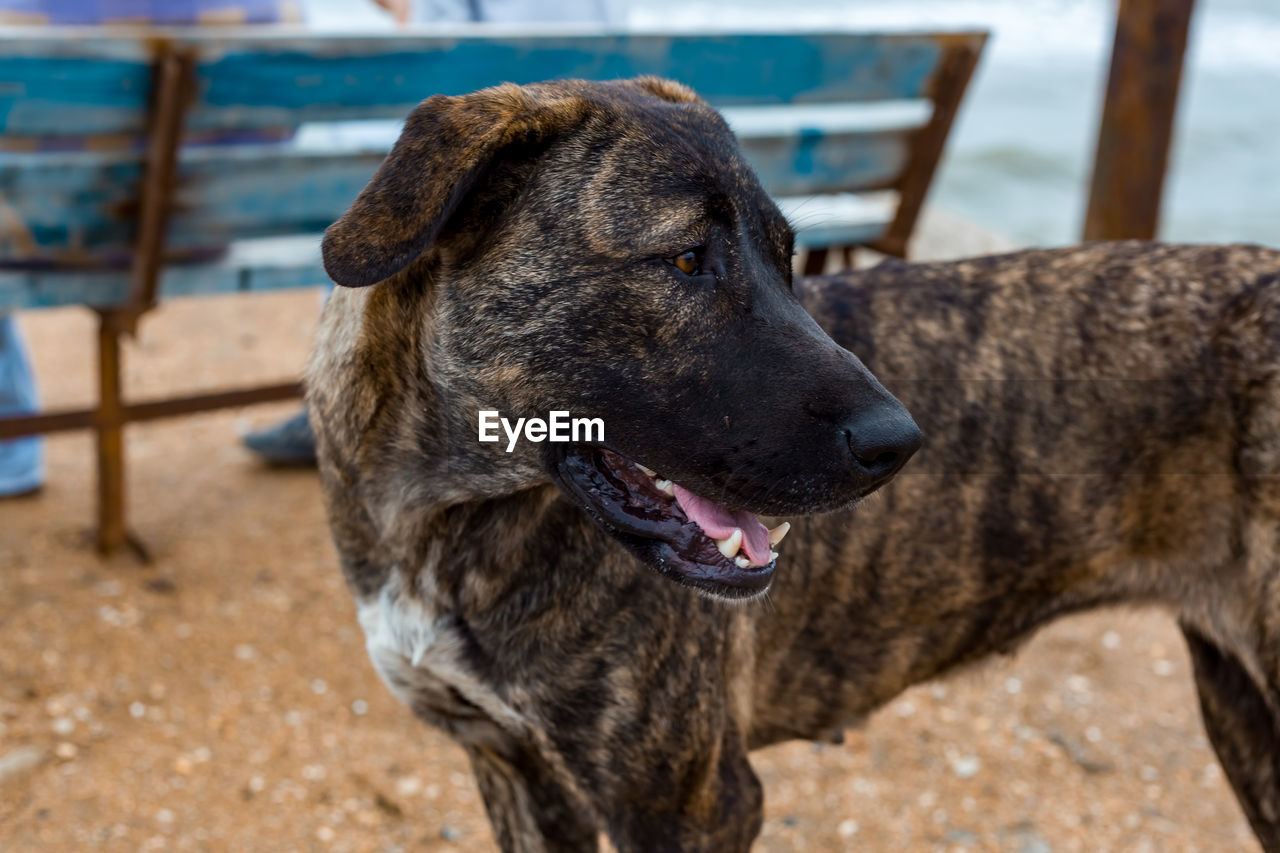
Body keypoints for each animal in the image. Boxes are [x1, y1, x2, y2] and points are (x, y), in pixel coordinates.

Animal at [304, 76, 1280, 845]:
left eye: (790, 258)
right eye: (685, 258)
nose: (900, 443)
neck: (437, 512)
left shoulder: (696, 803)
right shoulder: (513, 772)